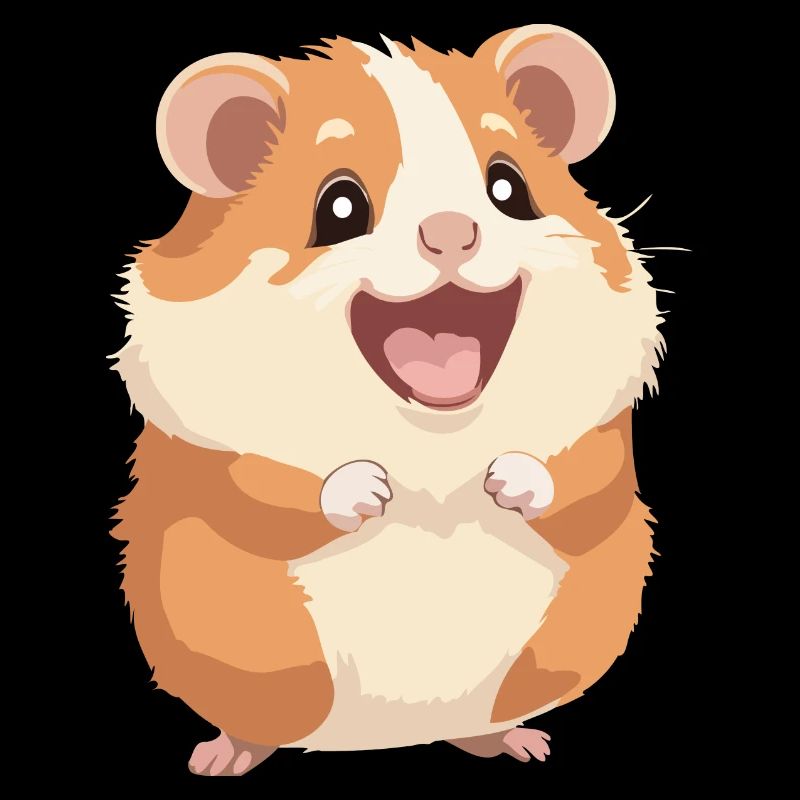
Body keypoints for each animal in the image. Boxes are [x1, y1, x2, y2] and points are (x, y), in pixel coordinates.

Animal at [113, 25, 664, 775]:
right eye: (339, 206)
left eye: (508, 187)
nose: (452, 230)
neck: (432, 431)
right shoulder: (209, 453)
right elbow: (266, 493)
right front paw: (370, 489)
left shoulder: (602, 437)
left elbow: (580, 484)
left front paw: (506, 479)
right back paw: (221, 757)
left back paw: (519, 743)